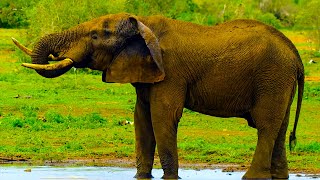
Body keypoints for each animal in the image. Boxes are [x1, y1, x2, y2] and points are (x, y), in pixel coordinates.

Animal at [13, 13, 304, 180]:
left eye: (95, 36)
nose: (55, 54)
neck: (144, 25)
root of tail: (295, 53)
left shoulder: (171, 72)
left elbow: (162, 116)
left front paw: (170, 178)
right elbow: (141, 118)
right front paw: (141, 177)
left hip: (272, 77)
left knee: (266, 126)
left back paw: (252, 177)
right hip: (279, 81)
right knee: (279, 128)